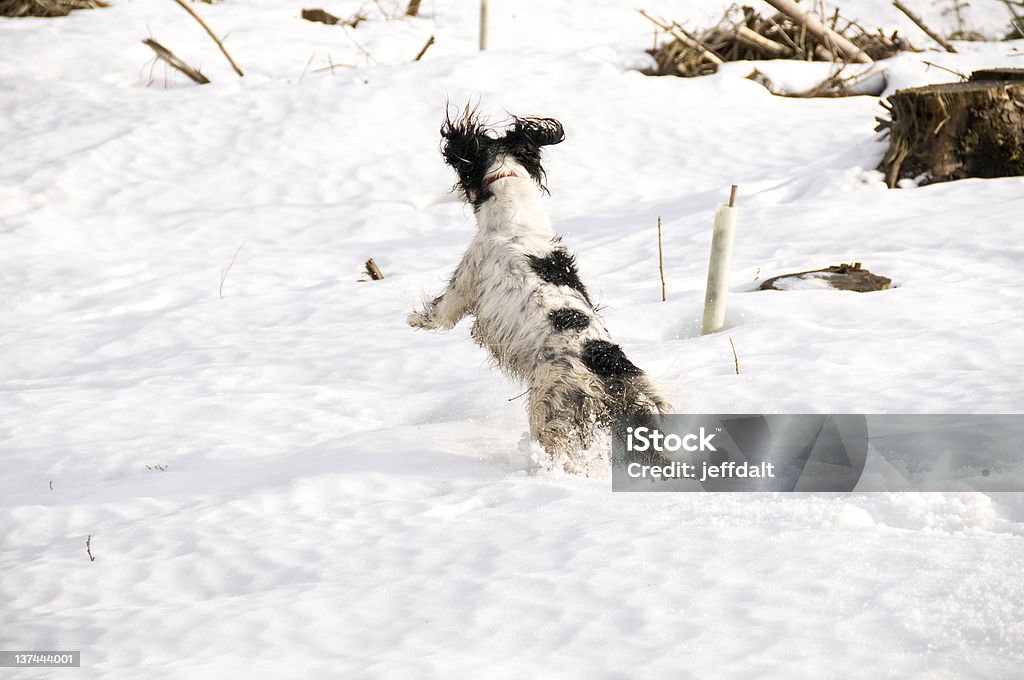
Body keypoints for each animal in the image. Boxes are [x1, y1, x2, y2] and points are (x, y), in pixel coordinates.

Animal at [407, 110, 671, 462]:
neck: (515, 216)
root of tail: (611, 366)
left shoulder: (467, 277)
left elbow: (440, 313)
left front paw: (415, 319)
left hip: (551, 407)